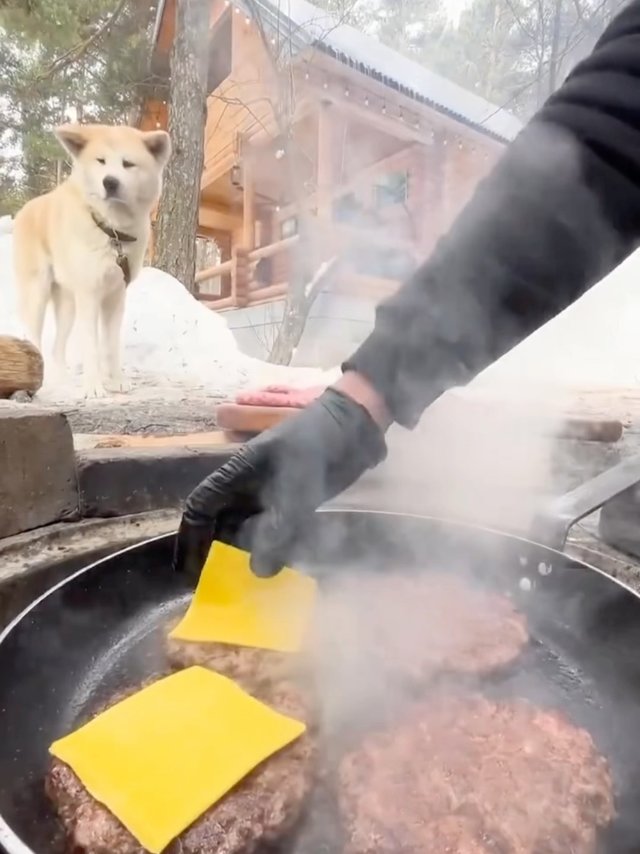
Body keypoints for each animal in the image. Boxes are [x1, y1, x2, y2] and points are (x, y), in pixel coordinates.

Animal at [13, 123, 171, 398]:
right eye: (101, 161)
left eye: (128, 164)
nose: (110, 182)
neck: (112, 231)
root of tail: (26, 209)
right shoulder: (90, 294)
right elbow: (91, 346)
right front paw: (94, 387)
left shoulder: (115, 296)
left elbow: (111, 345)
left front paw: (116, 380)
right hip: (38, 293)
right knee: (35, 338)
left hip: (67, 303)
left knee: (57, 347)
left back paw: (62, 381)